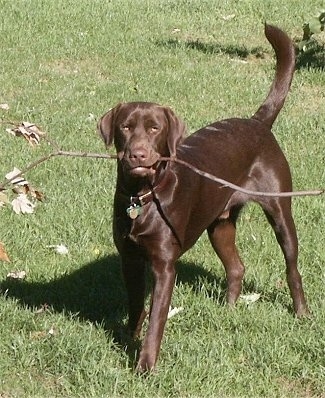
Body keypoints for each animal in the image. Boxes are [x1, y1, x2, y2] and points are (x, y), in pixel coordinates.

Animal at [97, 24, 308, 374]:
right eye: (125, 127)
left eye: (154, 128)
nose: (137, 154)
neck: (143, 196)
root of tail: (257, 122)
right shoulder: (129, 257)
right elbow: (136, 307)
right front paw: (127, 342)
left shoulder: (164, 265)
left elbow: (156, 320)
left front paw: (145, 366)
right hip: (219, 225)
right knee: (236, 268)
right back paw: (229, 310)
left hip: (280, 210)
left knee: (292, 268)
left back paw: (302, 313)